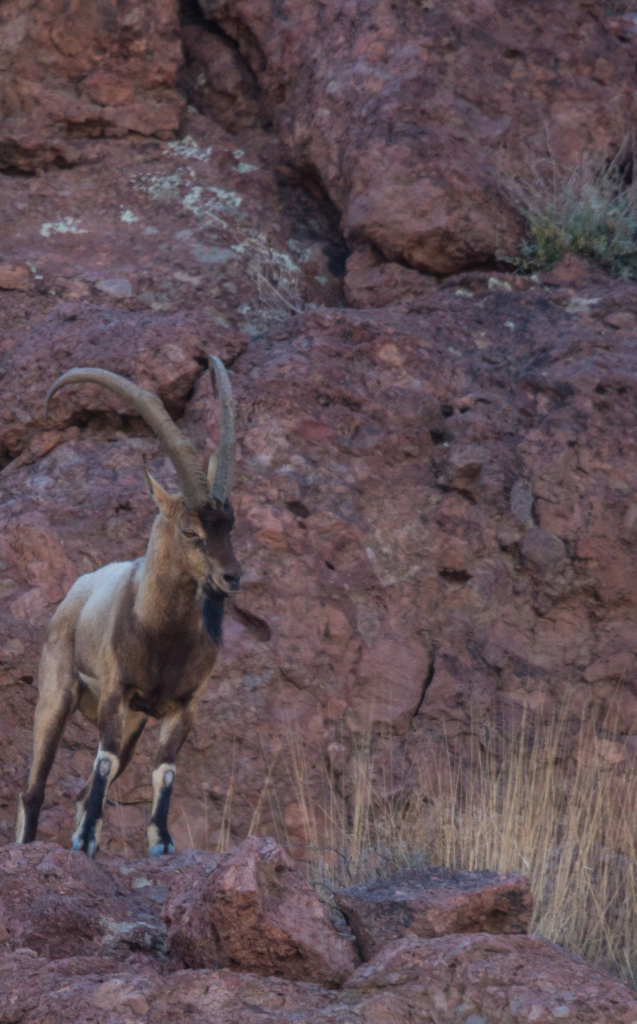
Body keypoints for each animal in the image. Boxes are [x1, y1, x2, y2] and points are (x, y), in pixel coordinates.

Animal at [15, 356, 241, 858]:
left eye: (230, 525)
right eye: (190, 529)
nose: (232, 577)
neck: (162, 636)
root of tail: (74, 593)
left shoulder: (183, 707)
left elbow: (166, 770)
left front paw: (161, 841)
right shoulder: (116, 692)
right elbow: (101, 760)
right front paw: (83, 841)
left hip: (136, 722)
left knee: (84, 791)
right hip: (57, 693)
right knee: (33, 788)